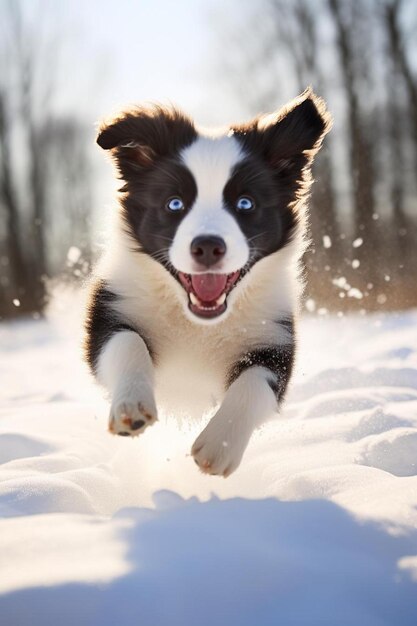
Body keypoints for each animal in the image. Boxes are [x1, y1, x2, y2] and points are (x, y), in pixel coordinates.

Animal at [84, 88, 330, 476]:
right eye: (174, 204)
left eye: (245, 203)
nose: (208, 246)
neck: (198, 323)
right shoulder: (111, 308)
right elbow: (126, 342)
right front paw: (131, 407)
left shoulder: (274, 337)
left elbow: (255, 383)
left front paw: (219, 446)